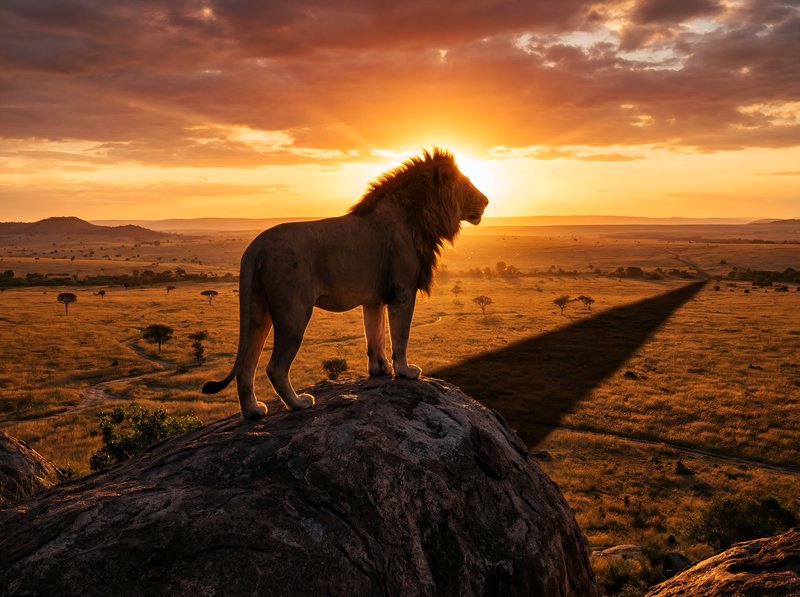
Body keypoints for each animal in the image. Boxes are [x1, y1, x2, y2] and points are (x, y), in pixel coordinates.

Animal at [202, 148, 489, 418]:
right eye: (467, 182)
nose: (487, 201)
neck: (418, 216)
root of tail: (256, 247)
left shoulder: (374, 300)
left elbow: (375, 335)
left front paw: (379, 370)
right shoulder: (402, 292)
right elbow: (400, 336)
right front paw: (405, 371)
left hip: (257, 311)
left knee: (246, 365)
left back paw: (253, 412)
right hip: (294, 311)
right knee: (275, 367)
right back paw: (299, 403)